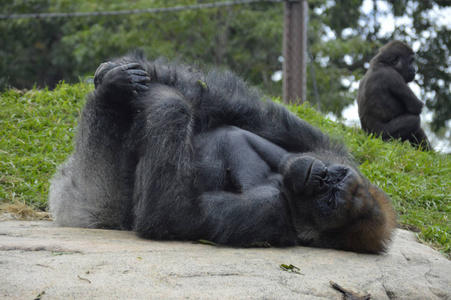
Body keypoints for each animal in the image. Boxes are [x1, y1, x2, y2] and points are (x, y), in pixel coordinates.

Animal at [47, 51, 398, 253]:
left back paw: (114, 94)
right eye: (336, 177)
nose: (322, 178)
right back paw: (116, 84)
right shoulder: (323, 147)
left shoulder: (271, 213)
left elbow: (171, 215)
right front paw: (131, 71)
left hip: (90, 200)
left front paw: (167, 101)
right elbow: (248, 114)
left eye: (330, 201)